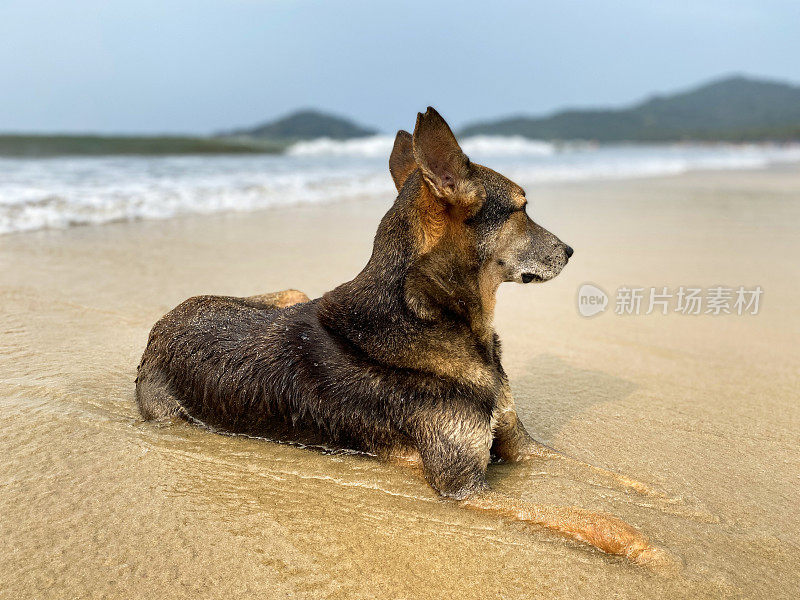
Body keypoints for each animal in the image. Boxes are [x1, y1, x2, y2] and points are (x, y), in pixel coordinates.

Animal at [138, 109, 668, 568]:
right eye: (522, 209)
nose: (571, 250)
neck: (433, 319)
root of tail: (159, 328)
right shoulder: (463, 486)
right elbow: (591, 517)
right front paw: (651, 550)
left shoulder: (520, 443)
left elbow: (607, 473)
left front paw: (669, 497)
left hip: (287, 295)